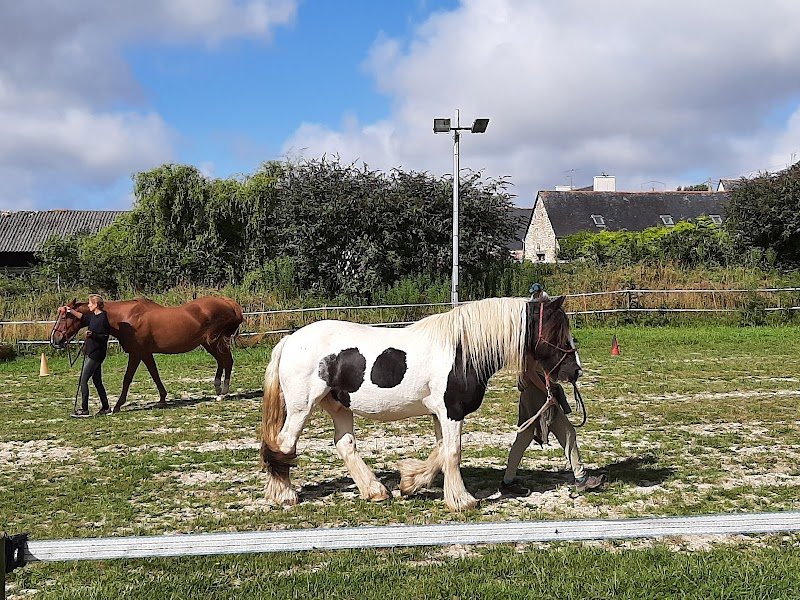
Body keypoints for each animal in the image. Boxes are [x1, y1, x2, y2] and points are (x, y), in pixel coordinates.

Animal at [50, 296, 244, 412]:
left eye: (65, 317)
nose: (55, 339)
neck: (126, 318)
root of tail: (228, 303)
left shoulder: (137, 354)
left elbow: (127, 378)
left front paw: (118, 405)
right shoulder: (145, 353)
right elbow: (154, 374)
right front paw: (162, 399)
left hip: (215, 342)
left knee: (227, 361)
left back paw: (222, 393)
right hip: (209, 343)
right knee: (222, 362)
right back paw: (218, 388)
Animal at [259, 295, 581, 512]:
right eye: (556, 332)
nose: (574, 371)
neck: (462, 351)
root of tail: (289, 340)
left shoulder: (440, 414)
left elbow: (440, 452)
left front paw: (410, 483)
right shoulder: (451, 412)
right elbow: (453, 453)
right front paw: (462, 501)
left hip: (339, 406)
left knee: (345, 445)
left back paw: (375, 491)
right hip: (302, 407)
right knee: (284, 444)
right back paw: (284, 495)